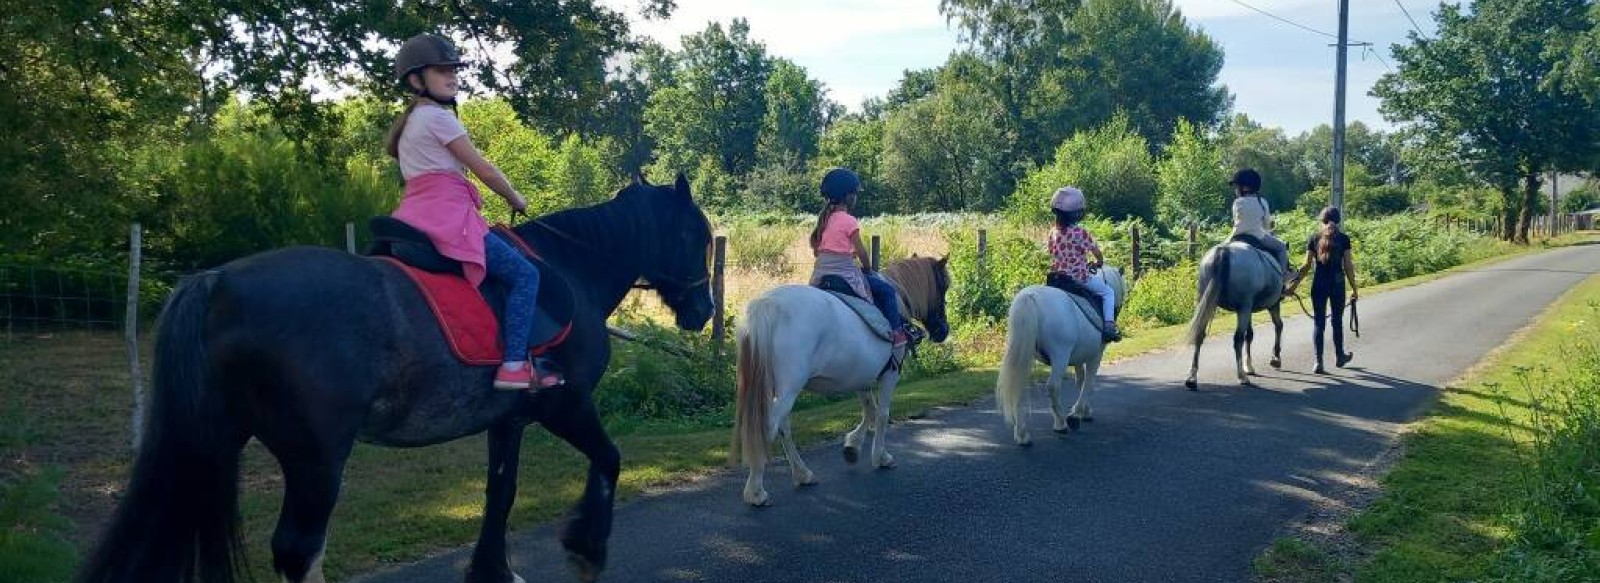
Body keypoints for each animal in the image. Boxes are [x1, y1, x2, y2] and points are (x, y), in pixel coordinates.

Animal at [78, 172, 716, 583]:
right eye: (698, 237)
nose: (704, 310)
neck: (571, 269)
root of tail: (218, 282)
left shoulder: (509, 418)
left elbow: (501, 492)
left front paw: (492, 571)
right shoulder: (568, 405)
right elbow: (609, 461)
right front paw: (586, 549)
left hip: (216, 443)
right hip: (315, 458)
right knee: (298, 550)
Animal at [732, 256, 947, 506]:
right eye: (943, 287)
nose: (943, 331)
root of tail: (767, 305)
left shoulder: (861, 377)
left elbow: (870, 411)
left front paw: (852, 447)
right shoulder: (890, 374)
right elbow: (882, 415)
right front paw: (880, 457)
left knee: (782, 427)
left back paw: (802, 474)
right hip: (788, 390)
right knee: (770, 426)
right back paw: (756, 490)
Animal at [992, 269, 1132, 445]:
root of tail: (1030, 297)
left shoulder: (1079, 358)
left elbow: (1080, 381)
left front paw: (1085, 411)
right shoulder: (1096, 355)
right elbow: (1089, 383)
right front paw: (1077, 413)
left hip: (1023, 355)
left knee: (1019, 387)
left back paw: (1022, 434)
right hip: (1060, 356)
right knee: (1053, 387)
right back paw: (1060, 423)